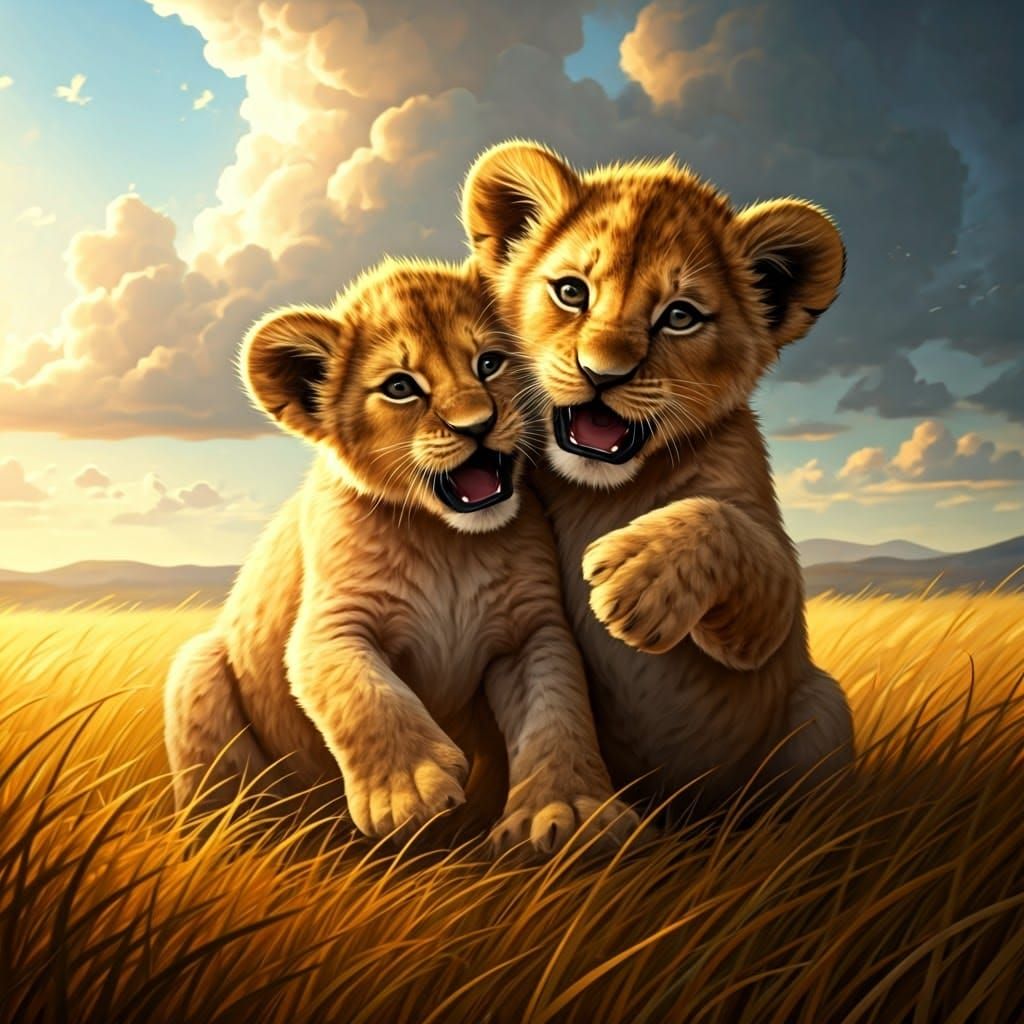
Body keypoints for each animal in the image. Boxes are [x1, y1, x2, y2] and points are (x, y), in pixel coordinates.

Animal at [164, 257, 637, 856]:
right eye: (400, 387)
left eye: (489, 363)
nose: (477, 425)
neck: (450, 544)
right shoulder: (330, 628)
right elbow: (367, 696)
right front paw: (412, 790)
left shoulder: (533, 633)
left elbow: (559, 714)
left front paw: (568, 813)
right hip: (196, 669)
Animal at [461, 142, 854, 817]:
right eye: (572, 291)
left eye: (679, 316)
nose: (602, 373)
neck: (600, 490)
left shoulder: (766, 622)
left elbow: (729, 532)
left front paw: (638, 578)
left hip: (822, 705)